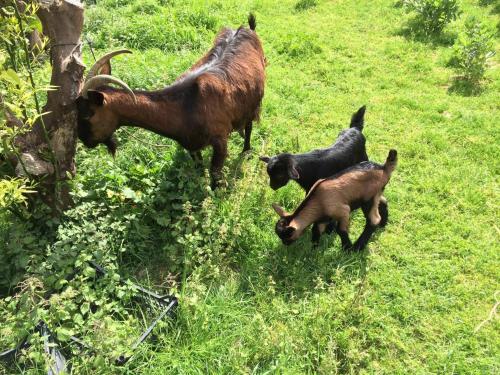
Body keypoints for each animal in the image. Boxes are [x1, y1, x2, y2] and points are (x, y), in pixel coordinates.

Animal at [75, 15, 264, 189]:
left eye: (86, 114)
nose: (85, 141)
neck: (186, 107)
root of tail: (247, 29)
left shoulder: (220, 140)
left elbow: (215, 175)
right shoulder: (191, 145)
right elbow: (199, 167)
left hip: (255, 101)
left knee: (249, 125)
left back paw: (246, 150)